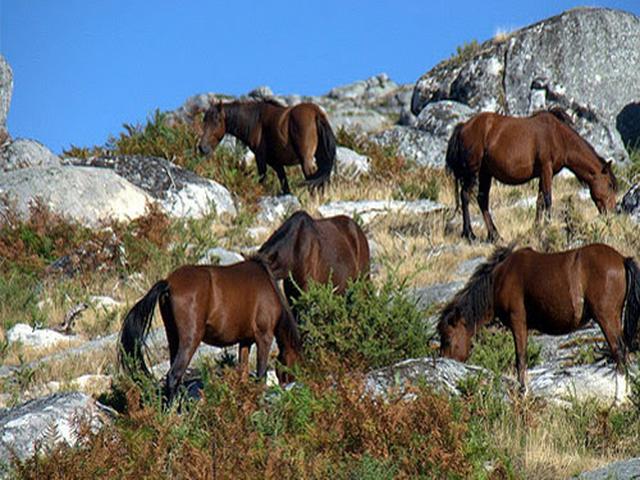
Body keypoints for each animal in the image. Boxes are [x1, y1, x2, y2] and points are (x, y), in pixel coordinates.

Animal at [119, 256, 301, 402]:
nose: (292, 386)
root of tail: (169, 283)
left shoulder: (245, 342)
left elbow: (242, 375)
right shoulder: (264, 337)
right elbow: (261, 376)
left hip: (173, 337)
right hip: (190, 340)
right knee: (174, 375)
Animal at [197, 99, 336, 195]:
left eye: (217, 120)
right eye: (204, 120)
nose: (202, 148)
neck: (256, 121)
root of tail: (316, 113)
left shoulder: (260, 158)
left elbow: (262, 179)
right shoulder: (276, 164)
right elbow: (285, 186)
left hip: (306, 161)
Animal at [438, 243, 640, 391]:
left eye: (447, 338)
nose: (443, 360)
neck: (499, 278)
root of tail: (622, 259)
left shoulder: (518, 322)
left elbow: (520, 359)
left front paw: (523, 392)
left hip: (606, 318)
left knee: (619, 353)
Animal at [446, 109, 618, 242]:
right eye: (610, 185)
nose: (611, 213)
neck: (558, 136)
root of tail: (463, 126)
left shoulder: (543, 174)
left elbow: (539, 201)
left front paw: (536, 229)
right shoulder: (546, 169)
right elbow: (548, 199)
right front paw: (548, 227)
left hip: (485, 173)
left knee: (482, 200)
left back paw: (494, 236)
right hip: (472, 171)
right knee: (465, 196)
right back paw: (470, 234)